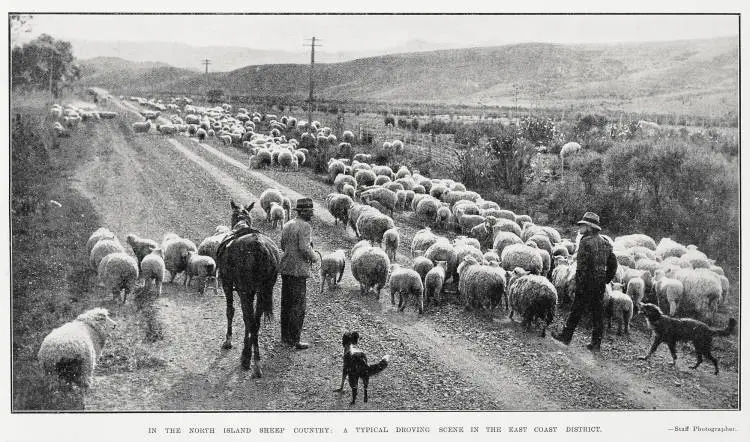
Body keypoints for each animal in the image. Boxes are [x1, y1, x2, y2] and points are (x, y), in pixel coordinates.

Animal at [217, 200, 282, 376]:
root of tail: (259, 245)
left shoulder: (228, 284)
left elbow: (231, 311)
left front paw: (229, 341)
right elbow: (250, 320)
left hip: (245, 290)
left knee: (250, 320)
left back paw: (251, 360)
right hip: (261, 291)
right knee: (255, 322)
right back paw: (254, 360)